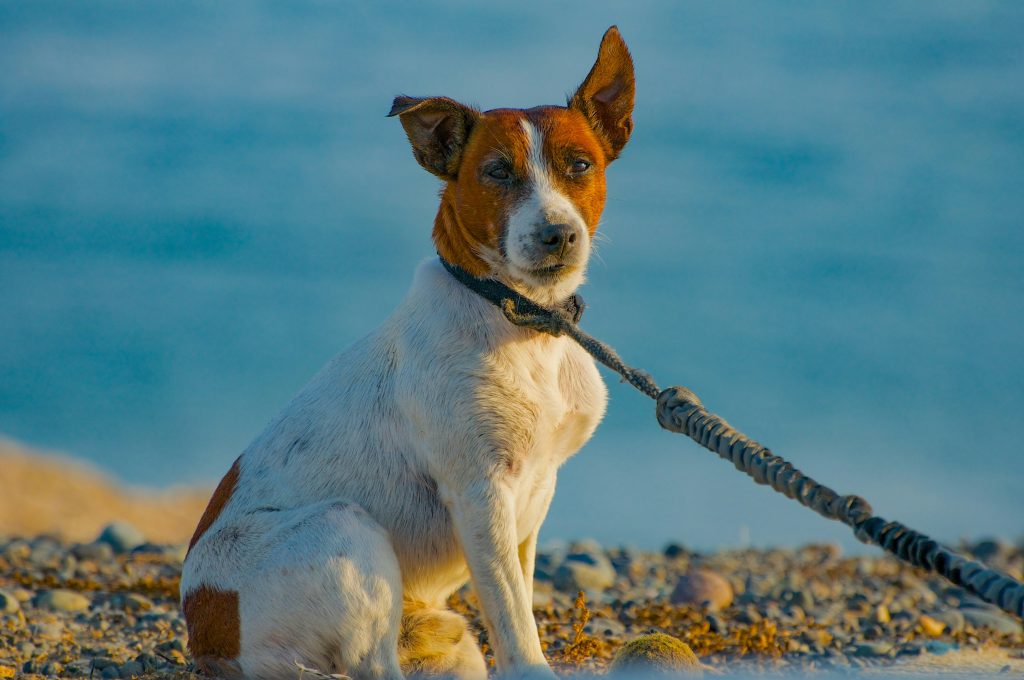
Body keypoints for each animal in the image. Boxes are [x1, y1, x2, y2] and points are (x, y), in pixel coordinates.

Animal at [180, 26, 634, 680]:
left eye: (580, 165)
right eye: (497, 172)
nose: (558, 236)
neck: (518, 318)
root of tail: (210, 639)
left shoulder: (535, 491)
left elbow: (520, 602)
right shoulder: (480, 493)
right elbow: (515, 621)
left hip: (443, 636)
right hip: (345, 529)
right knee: (373, 665)